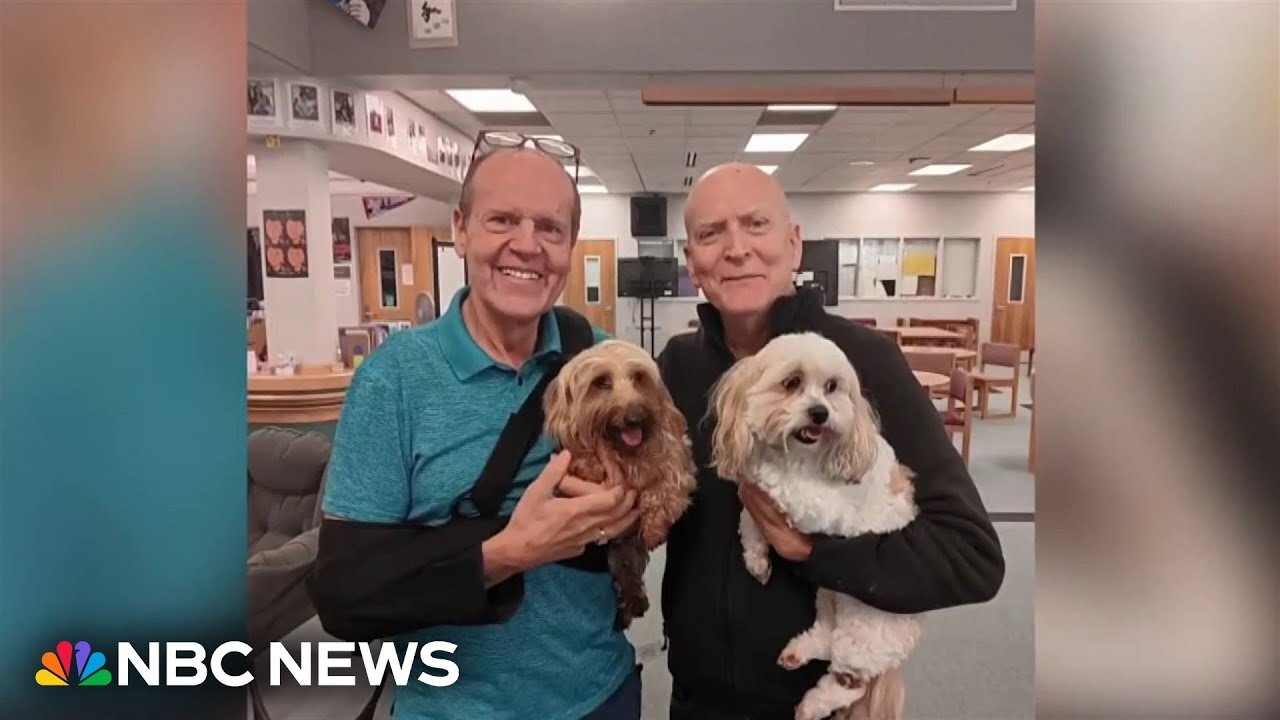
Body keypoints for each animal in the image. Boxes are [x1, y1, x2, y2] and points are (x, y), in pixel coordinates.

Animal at [711, 330, 921, 717]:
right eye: (791, 382)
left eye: (831, 387)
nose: (820, 413)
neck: (796, 456)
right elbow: (749, 523)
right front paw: (757, 560)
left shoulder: (821, 504)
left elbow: (774, 488)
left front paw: (761, 474)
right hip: (830, 598)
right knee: (826, 637)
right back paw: (797, 653)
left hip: (865, 630)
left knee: (852, 681)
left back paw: (812, 705)